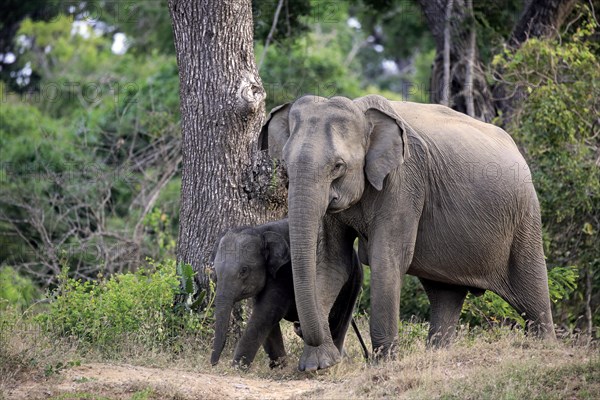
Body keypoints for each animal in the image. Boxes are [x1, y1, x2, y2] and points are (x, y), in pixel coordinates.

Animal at [211, 219, 360, 368]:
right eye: (215, 269)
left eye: (244, 270)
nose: (214, 364)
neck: (261, 231)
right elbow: (267, 318)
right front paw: (280, 367)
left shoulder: (285, 273)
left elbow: (266, 312)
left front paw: (238, 368)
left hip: (352, 283)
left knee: (339, 324)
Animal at [260, 94, 556, 372]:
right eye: (284, 165)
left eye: (338, 166)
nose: (298, 326)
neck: (362, 112)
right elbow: (333, 262)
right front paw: (317, 365)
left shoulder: (404, 181)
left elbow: (387, 259)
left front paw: (383, 364)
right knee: (445, 295)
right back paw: (437, 355)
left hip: (525, 218)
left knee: (531, 290)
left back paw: (544, 348)